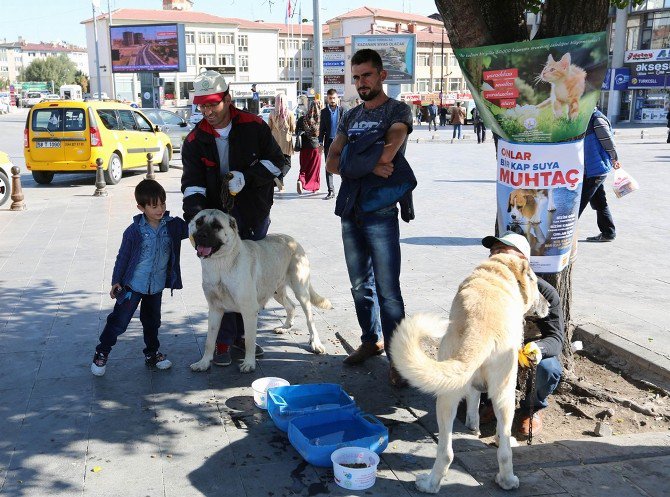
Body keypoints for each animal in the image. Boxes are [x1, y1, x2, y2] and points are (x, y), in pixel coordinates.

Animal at [188, 208, 334, 372]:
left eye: (217, 226)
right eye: (199, 222)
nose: (201, 235)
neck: (220, 262)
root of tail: (293, 240)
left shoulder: (249, 310)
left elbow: (249, 341)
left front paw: (249, 363)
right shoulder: (215, 309)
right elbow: (209, 341)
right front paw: (204, 362)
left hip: (300, 291)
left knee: (310, 319)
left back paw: (315, 343)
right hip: (276, 290)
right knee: (291, 305)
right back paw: (285, 327)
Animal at [392, 254, 548, 494]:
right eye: (536, 284)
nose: (548, 305)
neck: (499, 271)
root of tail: (482, 329)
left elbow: (474, 401)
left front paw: (472, 426)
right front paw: (475, 428)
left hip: (446, 396)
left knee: (446, 452)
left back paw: (429, 484)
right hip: (504, 394)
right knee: (504, 451)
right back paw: (508, 480)